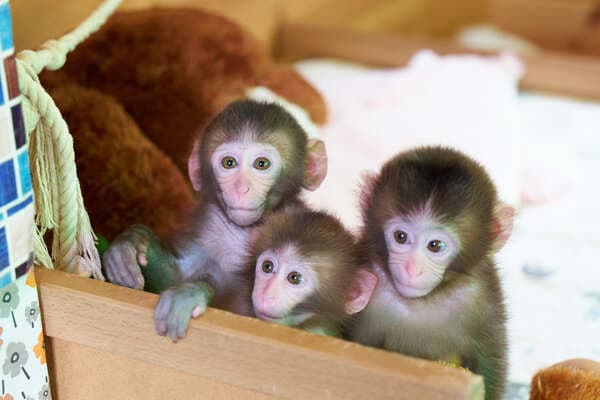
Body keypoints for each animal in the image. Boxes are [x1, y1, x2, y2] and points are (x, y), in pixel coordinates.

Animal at [352, 147, 516, 400]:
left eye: (435, 246)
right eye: (400, 237)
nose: (412, 269)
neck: (421, 302)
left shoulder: (483, 300)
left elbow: (491, 364)